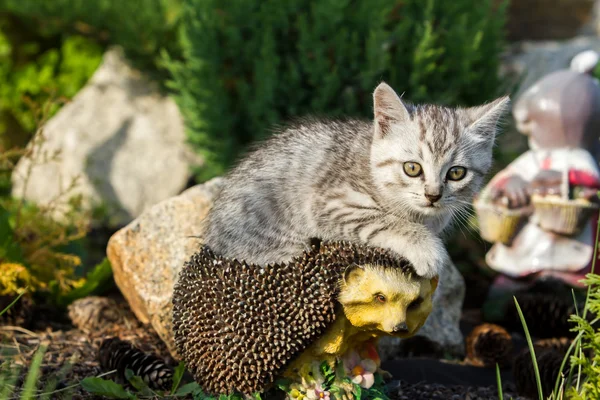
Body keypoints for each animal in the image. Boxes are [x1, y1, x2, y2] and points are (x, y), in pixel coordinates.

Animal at [204, 83, 508, 278]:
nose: (433, 195)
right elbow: (386, 221)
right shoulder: (332, 203)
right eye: (412, 168)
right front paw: (427, 250)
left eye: (456, 173)